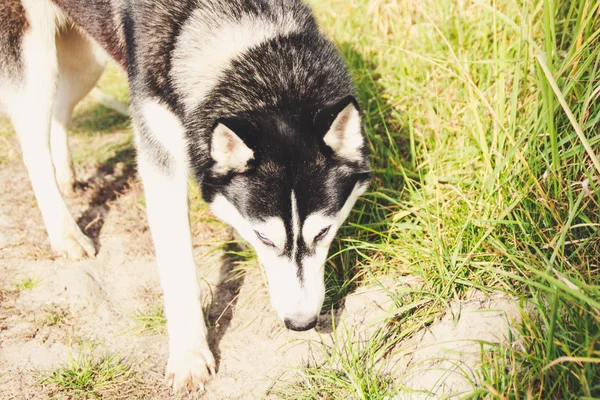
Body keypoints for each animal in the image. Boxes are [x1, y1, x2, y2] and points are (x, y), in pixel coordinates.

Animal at [0, 0, 370, 394]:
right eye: (264, 237)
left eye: (323, 232)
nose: (301, 323)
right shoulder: (159, 155)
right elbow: (178, 267)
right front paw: (189, 356)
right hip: (36, 66)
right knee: (33, 144)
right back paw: (65, 232)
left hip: (89, 62)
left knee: (60, 111)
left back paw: (66, 175)